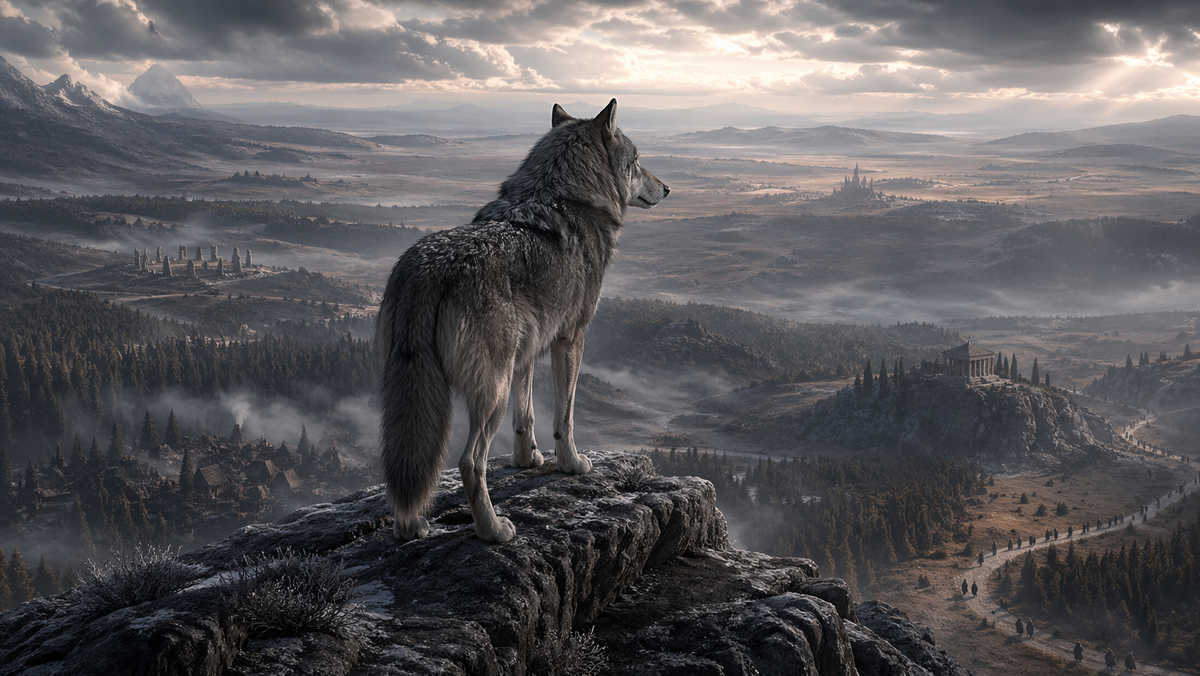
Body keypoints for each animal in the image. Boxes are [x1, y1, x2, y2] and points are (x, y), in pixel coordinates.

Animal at [376, 99, 669, 543]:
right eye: (637, 161)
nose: (667, 188)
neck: (564, 196)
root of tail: (428, 269)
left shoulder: (527, 350)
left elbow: (525, 415)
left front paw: (526, 459)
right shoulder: (571, 339)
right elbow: (565, 416)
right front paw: (572, 464)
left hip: (415, 389)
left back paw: (411, 526)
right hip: (490, 392)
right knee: (470, 462)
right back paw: (493, 530)